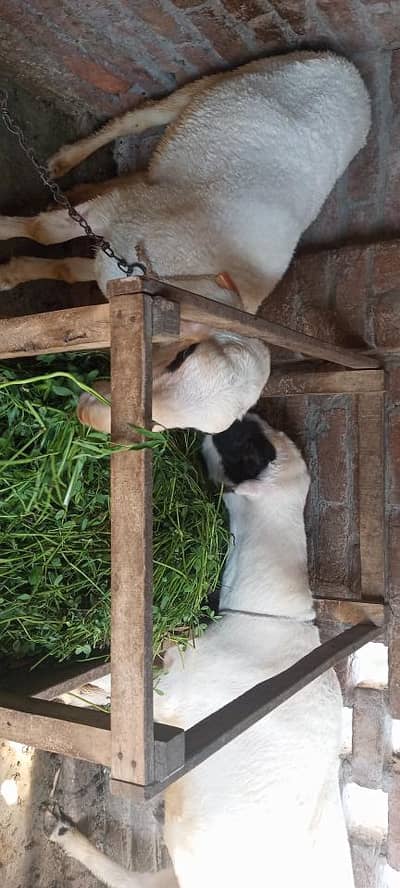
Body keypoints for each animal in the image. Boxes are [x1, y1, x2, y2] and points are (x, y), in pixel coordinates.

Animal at [49, 413, 354, 888]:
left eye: (244, 448)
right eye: (259, 433)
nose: (238, 415)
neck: (269, 610)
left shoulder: (175, 697)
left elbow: (119, 698)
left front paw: (78, 694)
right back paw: (65, 834)